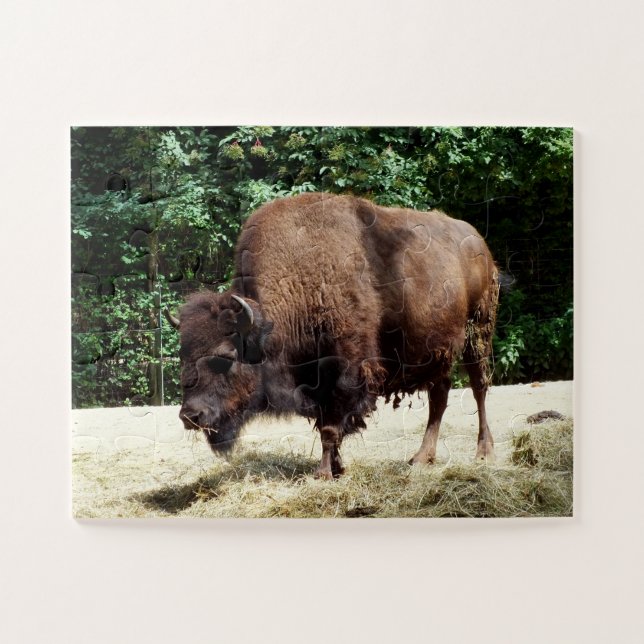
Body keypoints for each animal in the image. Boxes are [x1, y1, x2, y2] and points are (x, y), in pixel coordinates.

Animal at [170, 193, 500, 479]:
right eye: (183, 356)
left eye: (226, 356)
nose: (190, 415)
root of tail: (478, 241)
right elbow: (327, 427)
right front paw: (338, 469)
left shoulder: (344, 372)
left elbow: (330, 427)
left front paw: (323, 474)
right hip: (438, 352)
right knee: (439, 396)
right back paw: (422, 458)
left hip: (478, 332)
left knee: (478, 387)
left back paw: (483, 452)